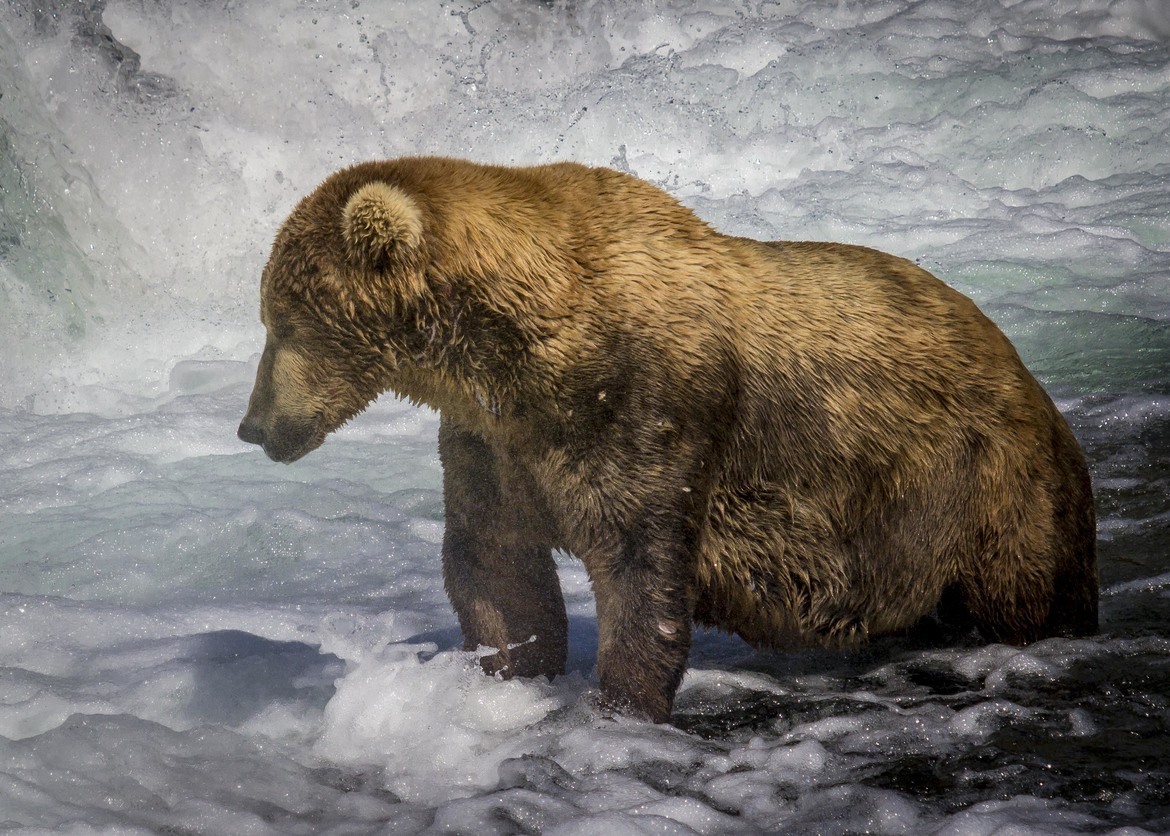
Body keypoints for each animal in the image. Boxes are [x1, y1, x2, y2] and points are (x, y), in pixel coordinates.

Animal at [238, 157, 1098, 724]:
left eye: (281, 322)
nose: (252, 426)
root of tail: (1033, 382)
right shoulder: (496, 443)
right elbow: (495, 564)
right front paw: (507, 680)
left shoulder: (646, 411)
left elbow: (639, 572)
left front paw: (620, 704)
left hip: (979, 491)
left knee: (1025, 593)